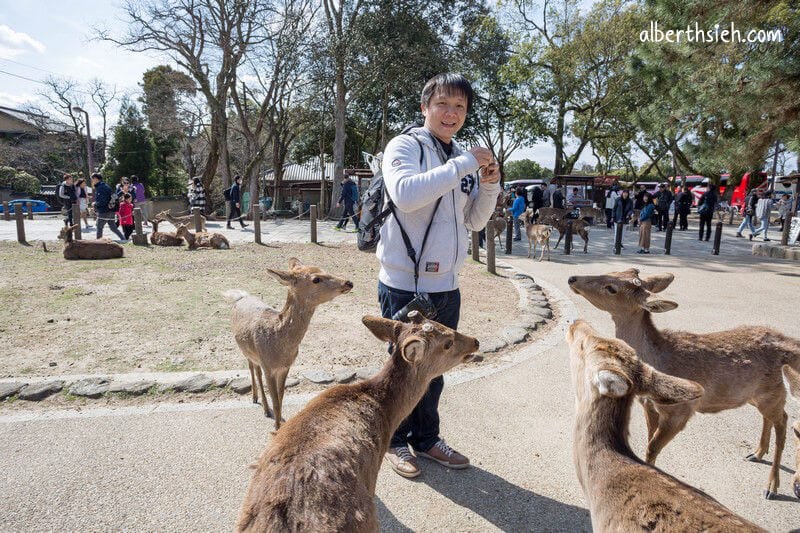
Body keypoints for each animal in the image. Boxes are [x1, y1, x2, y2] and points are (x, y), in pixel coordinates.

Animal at [223, 258, 353, 431]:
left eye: (324, 269)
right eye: (316, 279)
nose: (348, 282)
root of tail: (241, 297)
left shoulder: (286, 366)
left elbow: (281, 397)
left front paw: (280, 424)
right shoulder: (269, 367)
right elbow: (276, 402)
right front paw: (277, 428)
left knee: (255, 369)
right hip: (246, 351)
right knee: (253, 370)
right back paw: (260, 403)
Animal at [236, 313, 479, 532]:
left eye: (442, 322)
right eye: (447, 343)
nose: (475, 341)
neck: (386, 413)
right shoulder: (374, 469)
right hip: (365, 521)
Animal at [568, 268, 800, 500]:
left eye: (612, 288)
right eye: (614, 271)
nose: (572, 278)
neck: (658, 360)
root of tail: (790, 344)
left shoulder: (681, 412)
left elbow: (651, 448)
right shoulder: (648, 406)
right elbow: (649, 442)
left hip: (773, 393)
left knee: (783, 421)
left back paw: (771, 486)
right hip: (755, 396)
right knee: (772, 418)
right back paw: (757, 453)